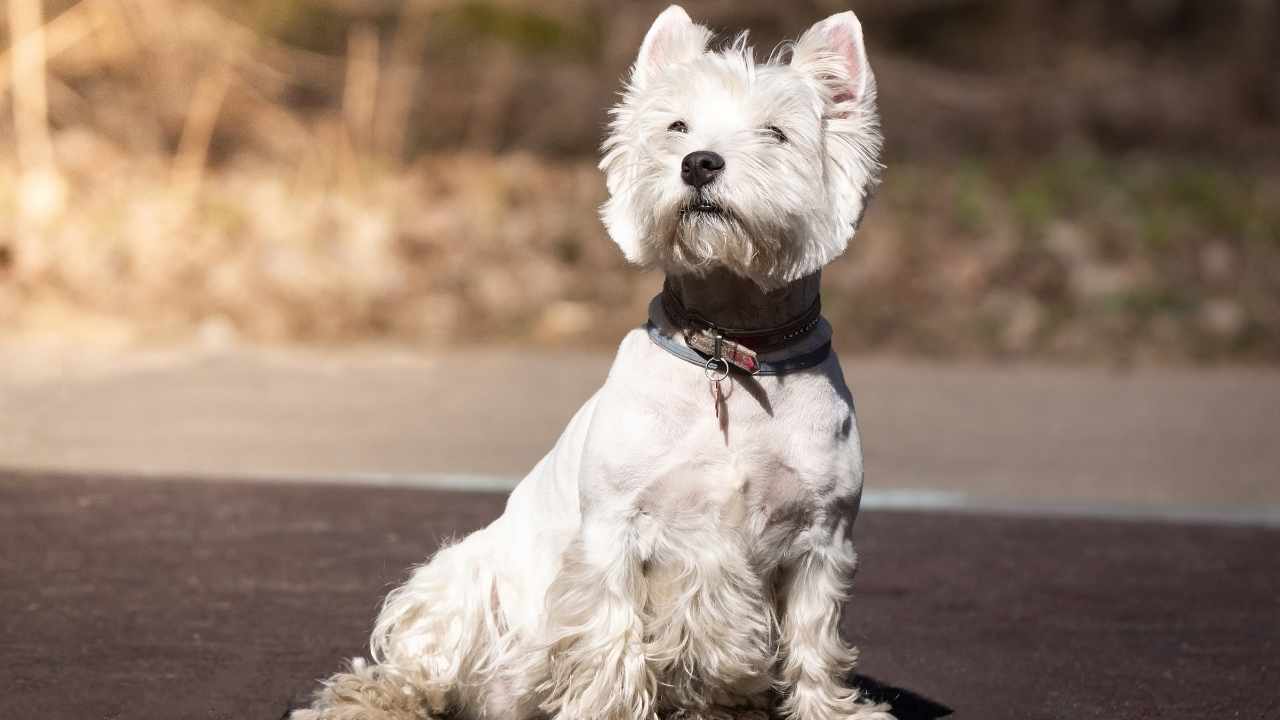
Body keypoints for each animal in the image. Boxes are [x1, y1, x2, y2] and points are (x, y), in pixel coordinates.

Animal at [293, 5, 885, 717]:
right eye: (676, 126)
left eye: (776, 133)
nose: (699, 163)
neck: (731, 351)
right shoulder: (615, 534)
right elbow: (611, 644)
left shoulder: (821, 542)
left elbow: (812, 644)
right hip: (461, 582)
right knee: (411, 663)